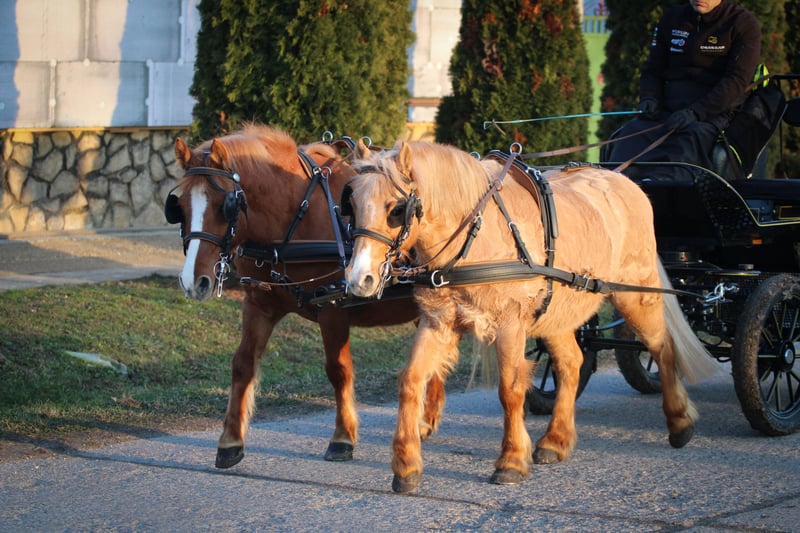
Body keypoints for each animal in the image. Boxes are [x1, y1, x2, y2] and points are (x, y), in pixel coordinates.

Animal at [164, 125, 446, 469]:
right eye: (179, 207)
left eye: (224, 205)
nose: (194, 282)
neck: (296, 216)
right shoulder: (259, 305)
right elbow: (243, 363)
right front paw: (230, 441)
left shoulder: (333, 309)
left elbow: (338, 370)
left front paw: (342, 437)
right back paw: (426, 420)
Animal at [343, 139, 720, 493]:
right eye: (352, 205)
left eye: (396, 209)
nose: (359, 279)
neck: (475, 237)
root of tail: (626, 182)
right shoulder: (439, 322)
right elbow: (410, 381)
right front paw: (406, 465)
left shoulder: (510, 324)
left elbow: (510, 390)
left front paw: (510, 461)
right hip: (557, 314)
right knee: (571, 363)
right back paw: (556, 440)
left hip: (637, 295)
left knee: (662, 348)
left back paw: (679, 422)